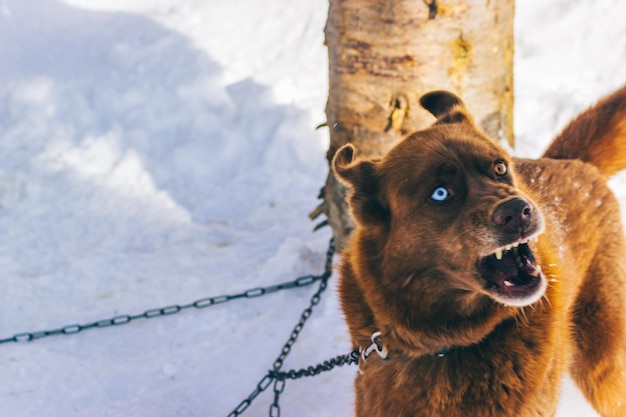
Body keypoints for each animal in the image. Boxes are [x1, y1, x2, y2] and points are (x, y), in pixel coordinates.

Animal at [334, 86, 624, 414]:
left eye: (499, 167)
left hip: (604, 367)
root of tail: (571, 162)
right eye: (440, 193)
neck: (446, 344)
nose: (518, 211)